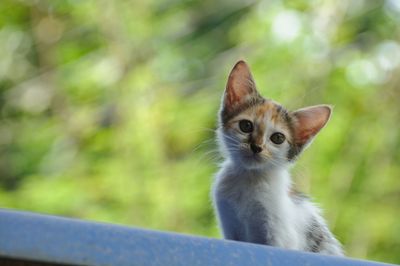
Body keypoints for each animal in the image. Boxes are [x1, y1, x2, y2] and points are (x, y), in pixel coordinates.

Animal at [209, 59, 344, 256]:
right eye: (245, 126)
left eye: (278, 138)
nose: (256, 147)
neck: (249, 179)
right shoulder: (230, 227)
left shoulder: (279, 239)